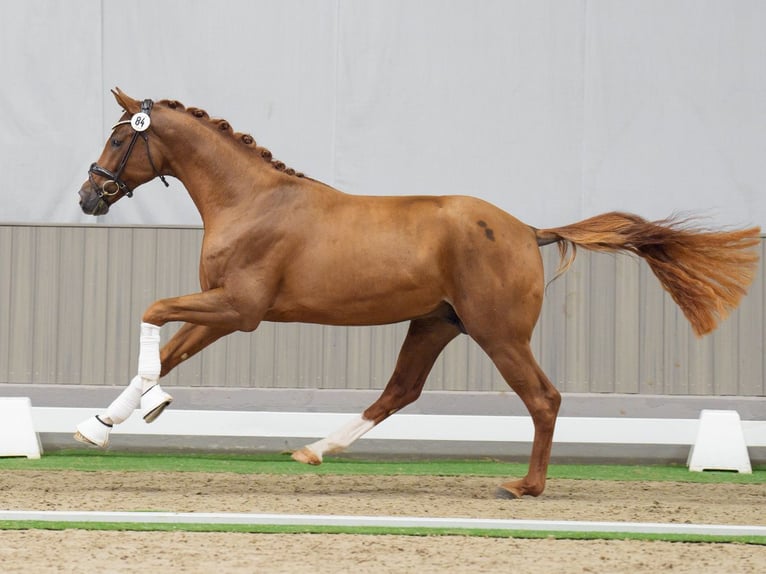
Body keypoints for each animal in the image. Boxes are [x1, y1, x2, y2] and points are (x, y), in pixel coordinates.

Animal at [75, 89, 760, 500]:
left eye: (120, 137)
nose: (88, 196)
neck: (251, 202)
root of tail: (527, 230)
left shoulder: (240, 310)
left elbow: (151, 314)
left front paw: (145, 406)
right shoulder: (222, 308)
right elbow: (169, 352)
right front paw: (101, 425)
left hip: (498, 334)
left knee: (543, 398)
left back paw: (524, 487)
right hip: (435, 324)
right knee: (400, 390)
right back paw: (314, 450)